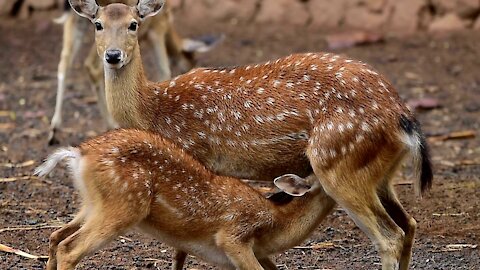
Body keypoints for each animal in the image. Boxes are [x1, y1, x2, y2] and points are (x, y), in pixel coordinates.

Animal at [35, 129, 336, 270]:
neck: (277, 222)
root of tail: (79, 154)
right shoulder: (234, 235)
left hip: (91, 204)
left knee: (56, 235)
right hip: (124, 206)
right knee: (70, 248)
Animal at [48, 0, 221, 144]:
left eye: (133, 25)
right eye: (192, 62)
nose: (113, 55)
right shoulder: (157, 27)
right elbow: (164, 68)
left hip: (75, 21)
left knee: (64, 63)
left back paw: (54, 130)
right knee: (90, 66)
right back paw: (109, 123)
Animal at [68, 0, 436, 268]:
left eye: (134, 24)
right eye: (97, 24)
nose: (113, 55)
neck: (153, 108)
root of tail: (403, 117)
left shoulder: (195, 155)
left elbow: (183, 245)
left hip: (338, 164)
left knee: (389, 236)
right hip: (381, 175)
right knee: (409, 225)